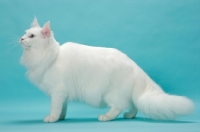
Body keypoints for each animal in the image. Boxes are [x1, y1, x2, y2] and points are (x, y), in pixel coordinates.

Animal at [19, 17, 194, 122]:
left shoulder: (58, 91)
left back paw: (106, 116)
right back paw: (129, 116)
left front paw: (52, 118)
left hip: (112, 93)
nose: (21, 38)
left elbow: (55, 107)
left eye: (31, 36)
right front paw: (61, 118)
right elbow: (63, 107)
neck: (50, 56)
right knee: (134, 105)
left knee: (120, 105)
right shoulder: (63, 94)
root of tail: (135, 66)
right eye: (25, 33)